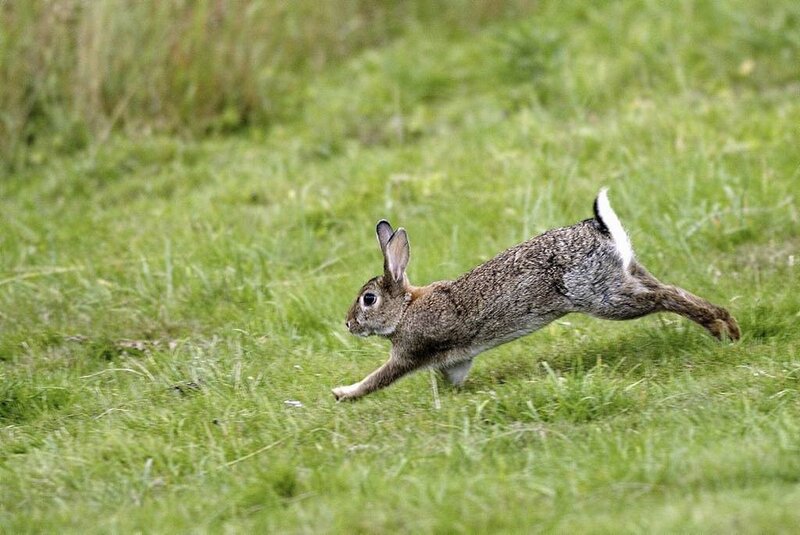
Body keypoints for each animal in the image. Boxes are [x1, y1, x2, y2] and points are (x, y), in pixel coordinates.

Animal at [332, 188, 740, 401]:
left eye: (368, 299)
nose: (349, 323)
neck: (405, 309)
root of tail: (598, 228)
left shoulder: (409, 351)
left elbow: (379, 378)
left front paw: (343, 393)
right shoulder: (456, 360)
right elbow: (454, 374)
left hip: (603, 297)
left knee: (665, 297)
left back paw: (719, 327)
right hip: (626, 275)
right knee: (670, 289)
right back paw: (728, 327)